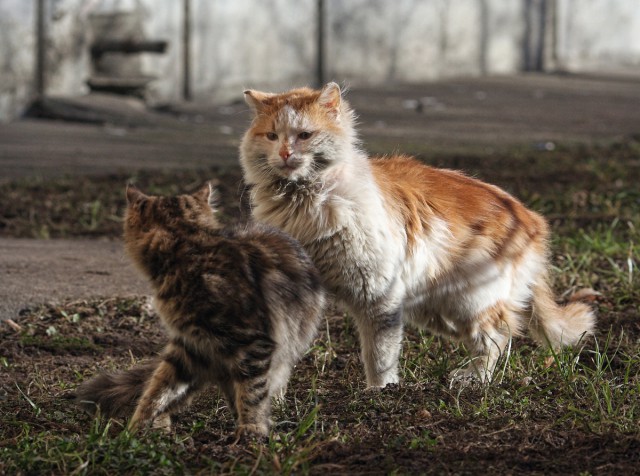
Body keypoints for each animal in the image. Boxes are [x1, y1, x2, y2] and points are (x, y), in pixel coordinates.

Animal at [75, 184, 324, 436]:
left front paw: (252, 430)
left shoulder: (252, 342)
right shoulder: (190, 347)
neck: (189, 248)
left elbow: (252, 393)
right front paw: (135, 428)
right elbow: (156, 390)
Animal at [239, 82, 596, 386]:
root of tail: (531, 219)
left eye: (304, 135)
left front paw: (380, 393)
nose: (285, 153)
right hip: (436, 309)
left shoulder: (378, 296)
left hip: (470, 300)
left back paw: (474, 379)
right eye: (272, 136)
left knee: (498, 334)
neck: (303, 199)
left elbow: (379, 355)